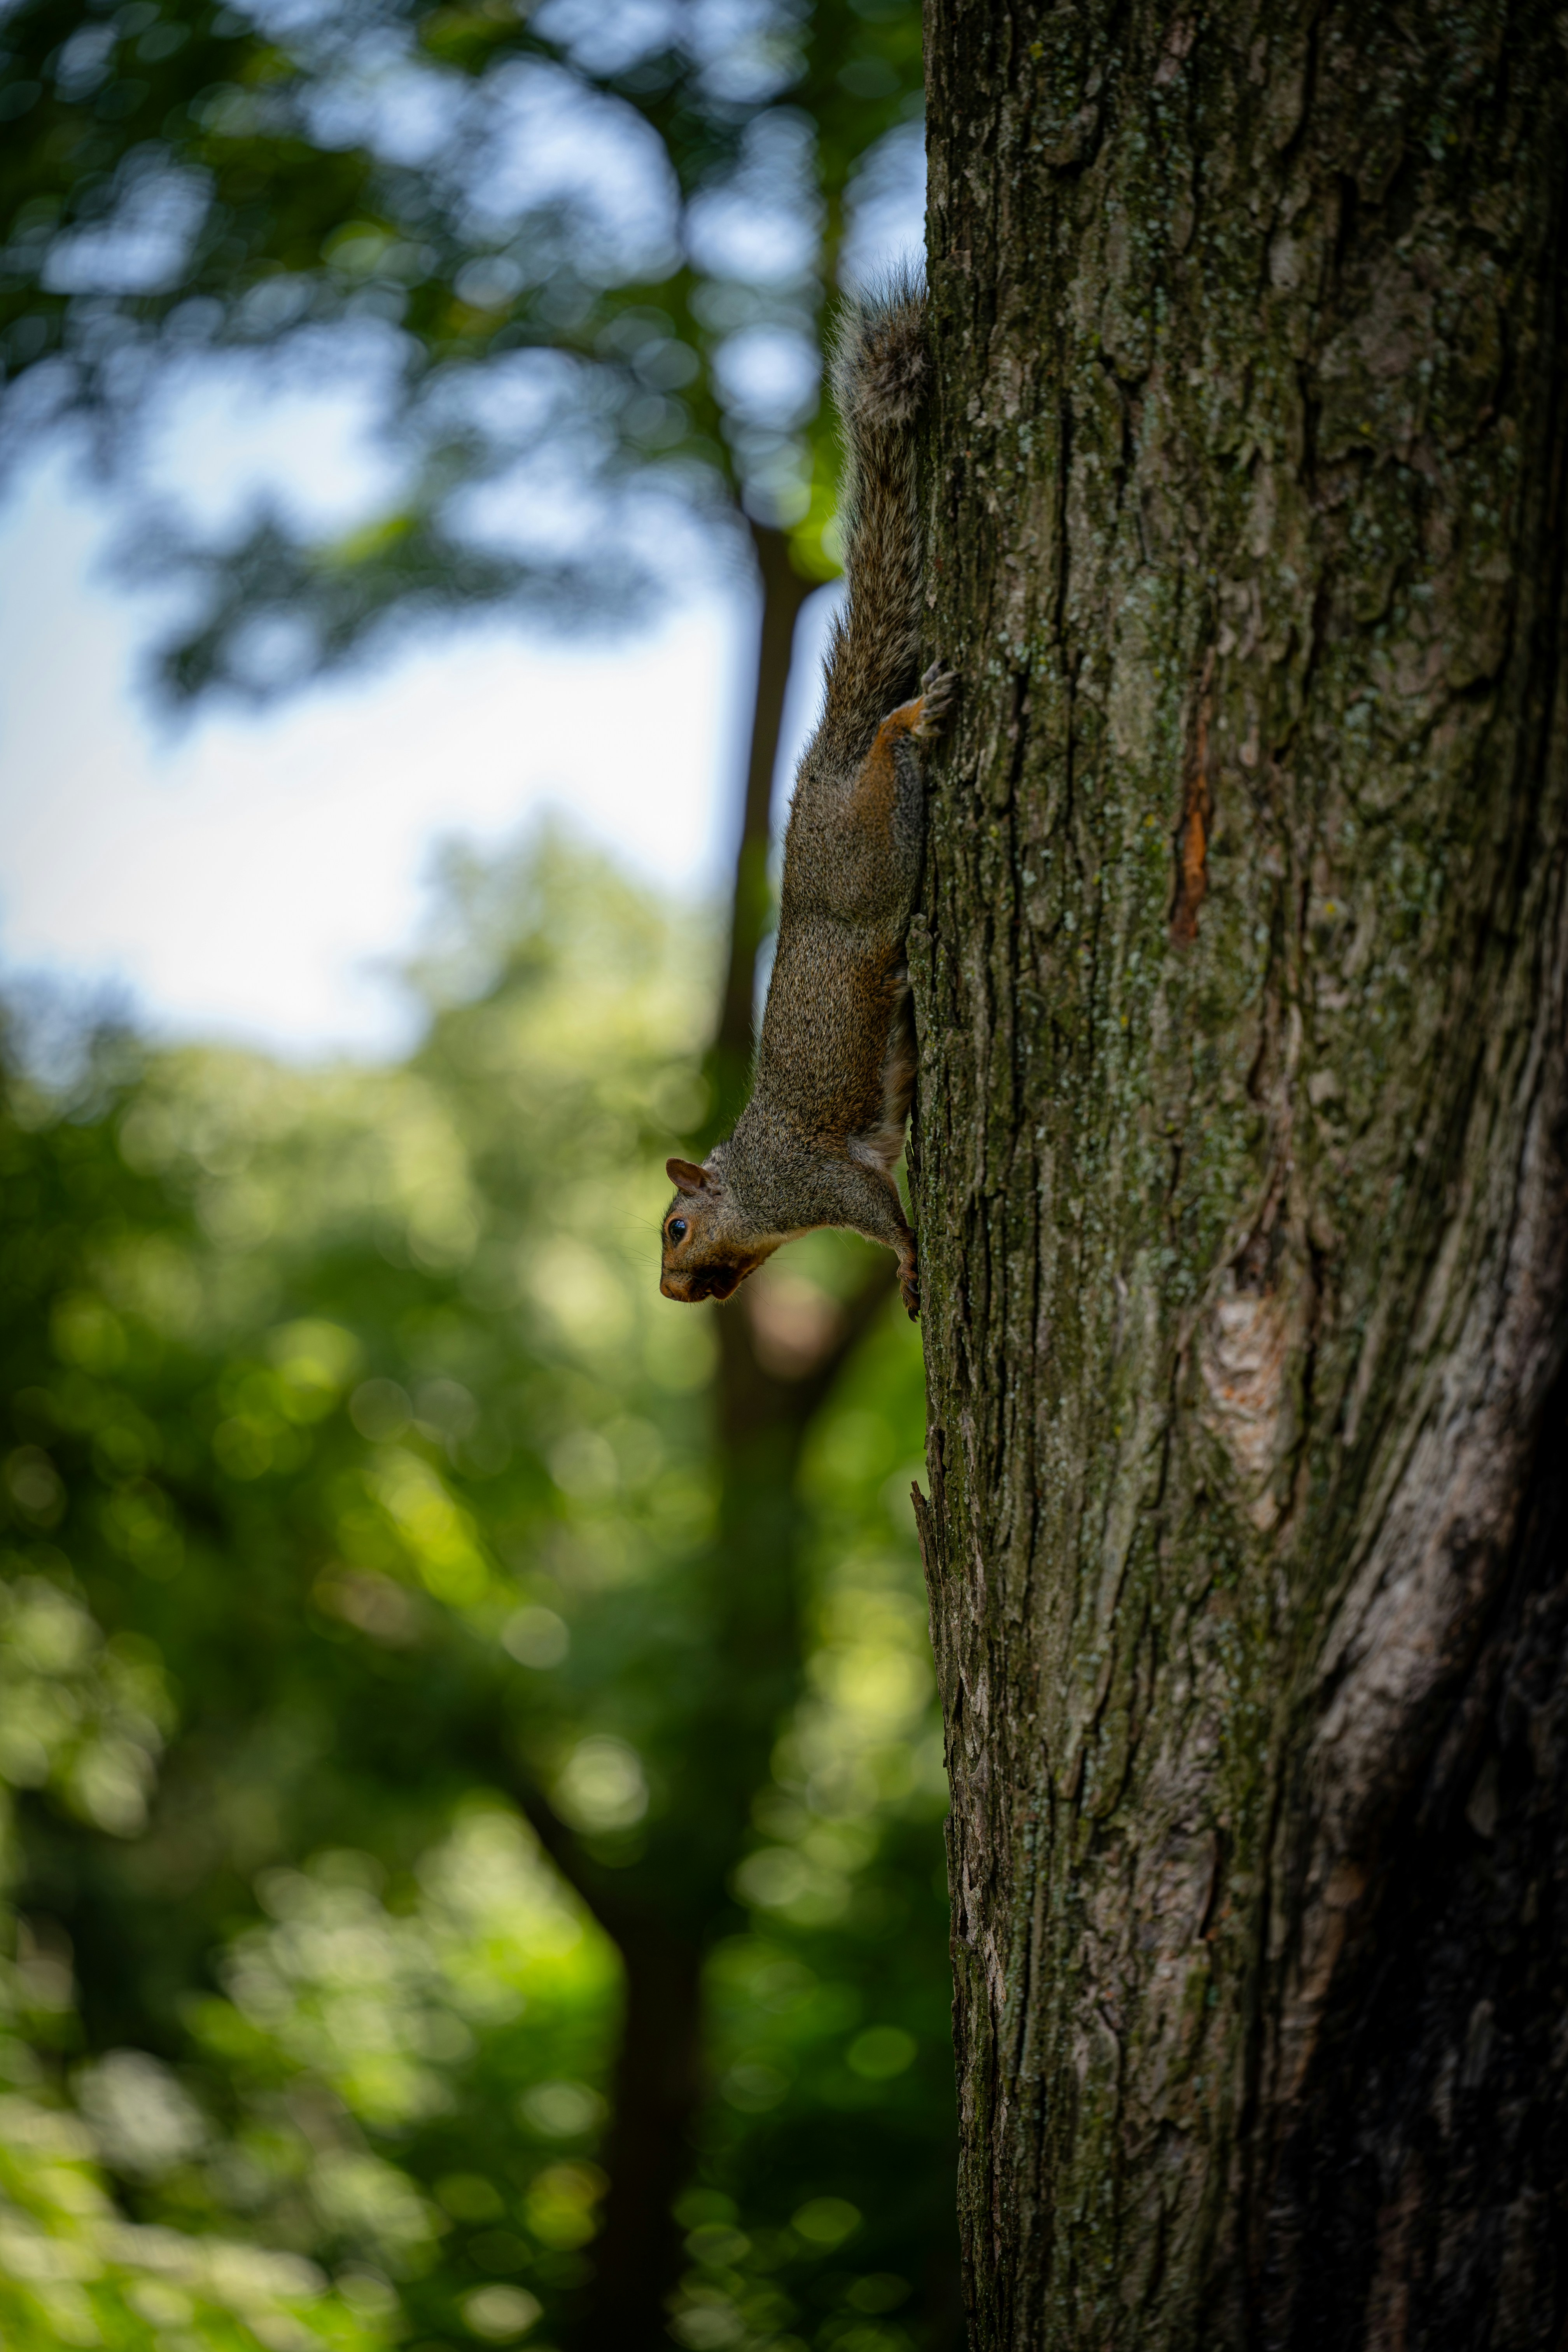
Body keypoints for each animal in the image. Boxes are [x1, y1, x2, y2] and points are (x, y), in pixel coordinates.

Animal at [660, 272, 953, 1324]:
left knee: (885, 765)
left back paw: (905, 722)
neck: (753, 1190)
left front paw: (907, 1262)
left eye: (676, 1229)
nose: (672, 1293)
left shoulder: (814, 1181)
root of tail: (823, 767)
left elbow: (879, 1210)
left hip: (867, 855)